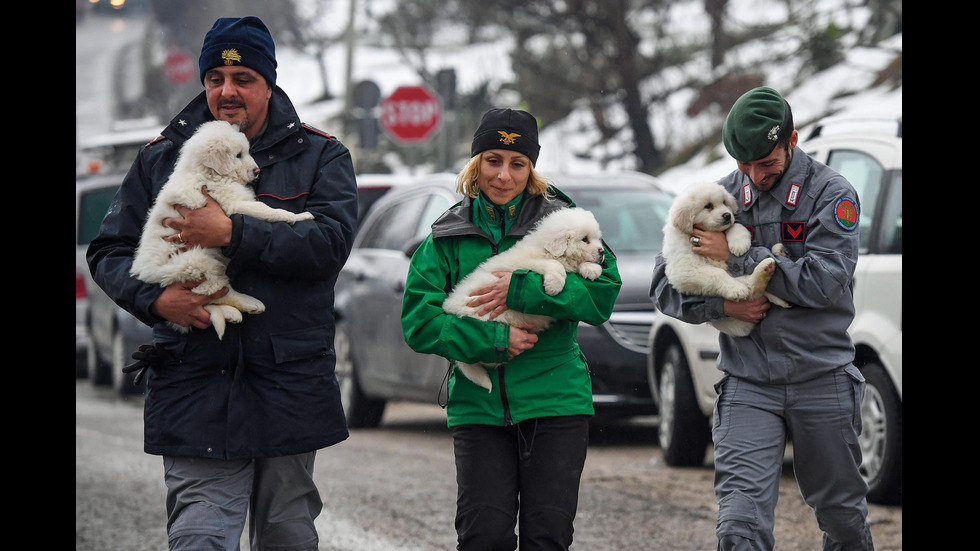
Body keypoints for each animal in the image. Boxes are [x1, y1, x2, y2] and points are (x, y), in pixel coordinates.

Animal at [130, 121, 312, 340]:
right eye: (238, 155)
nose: (257, 171)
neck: (209, 172)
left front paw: (300, 216)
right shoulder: (233, 203)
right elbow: (267, 210)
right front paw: (295, 216)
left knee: (207, 303)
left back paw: (231, 313)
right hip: (198, 265)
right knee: (216, 294)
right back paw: (248, 304)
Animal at [442, 207, 604, 392]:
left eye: (597, 239)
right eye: (585, 239)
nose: (602, 252)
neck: (547, 250)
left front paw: (592, 269)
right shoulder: (528, 264)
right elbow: (556, 266)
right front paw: (554, 286)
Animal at [660, 182, 788, 336]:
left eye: (724, 203)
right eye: (708, 206)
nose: (727, 215)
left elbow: (735, 226)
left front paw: (739, 243)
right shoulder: (684, 269)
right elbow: (717, 273)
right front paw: (735, 289)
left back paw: (777, 253)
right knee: (751, 289)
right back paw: (762, 272)